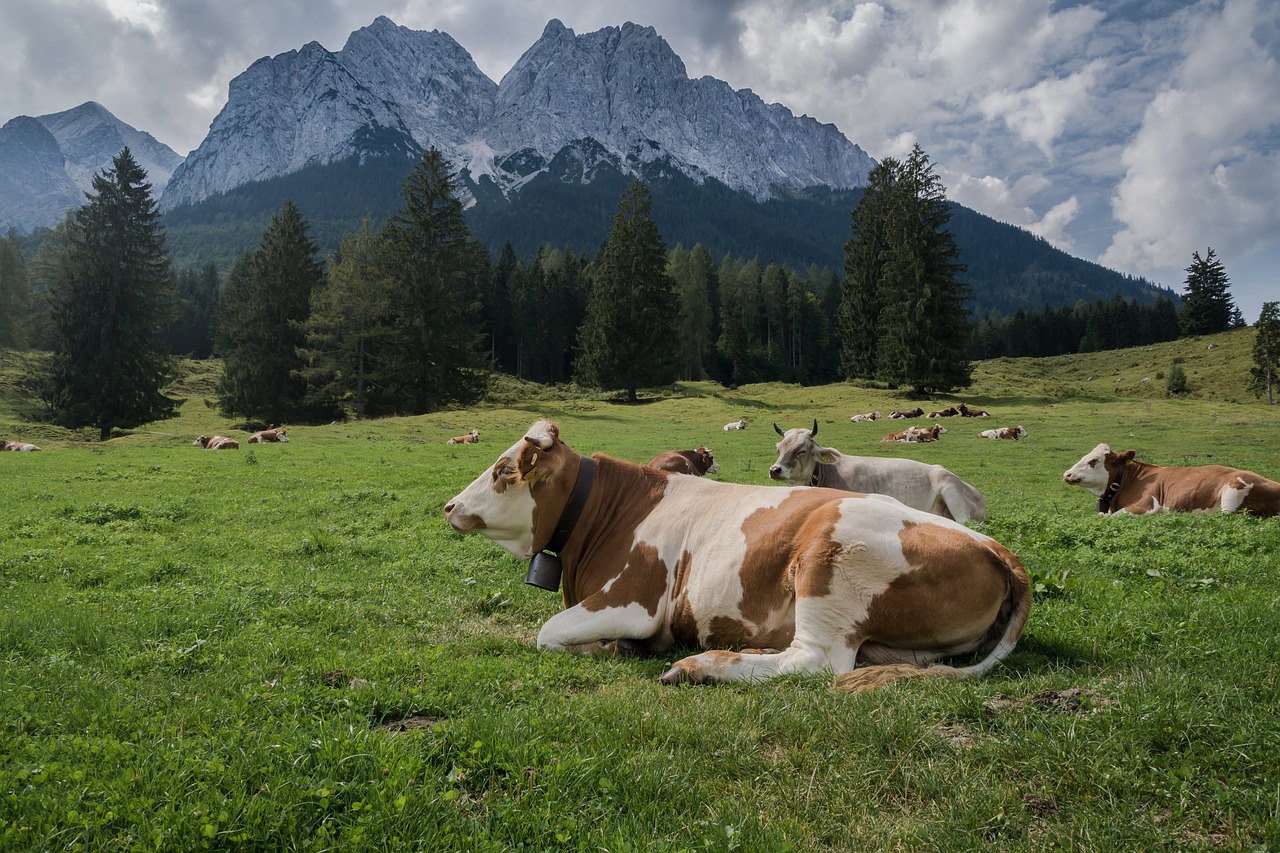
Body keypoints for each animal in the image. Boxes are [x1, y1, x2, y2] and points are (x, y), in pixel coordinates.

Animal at [440, 417, 1029, 691]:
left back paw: (700, 666)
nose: (449, 505)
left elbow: (547, 634)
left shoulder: (633, 601)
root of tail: (997, 547)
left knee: (813, 661)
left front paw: (611, 647)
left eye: (503, 470)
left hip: (830, 566)